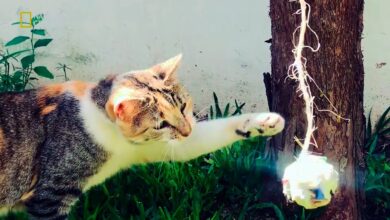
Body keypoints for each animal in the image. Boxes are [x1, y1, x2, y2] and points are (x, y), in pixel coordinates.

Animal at [0, 54, 286, 219]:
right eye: (161, 124)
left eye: (183, 106)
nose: (187, 130)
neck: (115, 140)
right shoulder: (49, 195)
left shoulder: (155, 147)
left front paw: (264, 121)